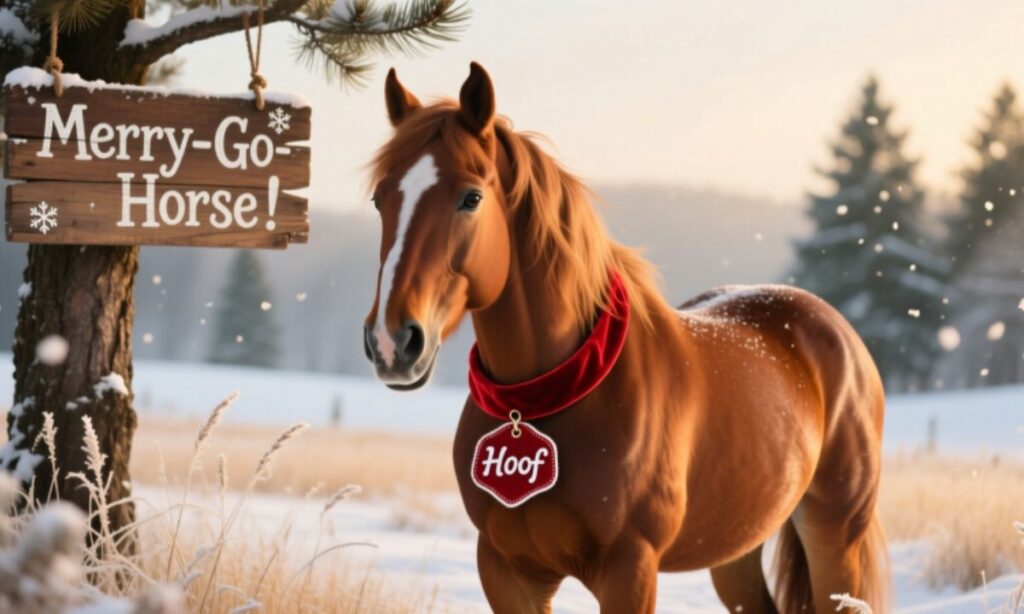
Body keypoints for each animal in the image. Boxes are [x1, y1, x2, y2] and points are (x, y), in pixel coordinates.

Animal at [362, 62, 890, 613]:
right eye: (380, 198)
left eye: (471, 197)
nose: (392, 342)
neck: (546, 400)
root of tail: (837, 333)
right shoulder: (506, 571)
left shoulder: (629, 570)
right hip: (736, 549)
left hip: (835, 538)